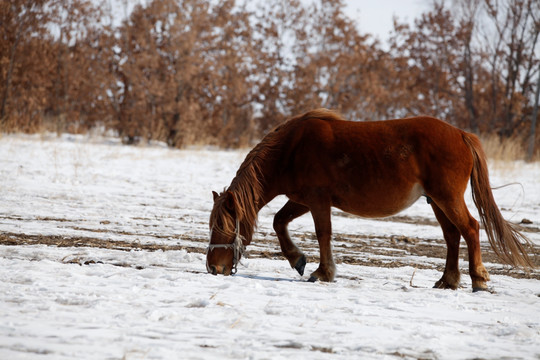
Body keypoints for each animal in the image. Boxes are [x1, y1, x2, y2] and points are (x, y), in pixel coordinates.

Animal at [206, 108, 532, 292]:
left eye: (223, 227)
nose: (212, 268)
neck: (292, 149)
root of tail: (461, 134)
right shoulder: (302, 200)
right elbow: (278, 221)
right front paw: (297, 260)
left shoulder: (318, 200)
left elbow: (323, 233)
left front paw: (323, 272)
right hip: (437, 201)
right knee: (453, 236)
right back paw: (448, 281)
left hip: (447, 197)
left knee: (471, 229)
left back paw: (478, 279)